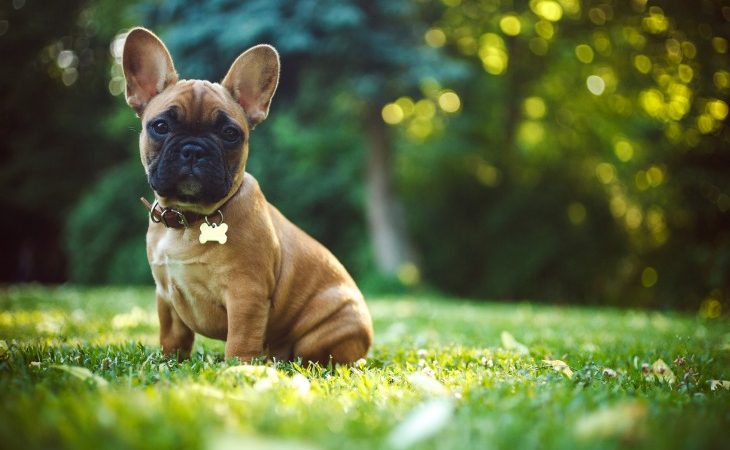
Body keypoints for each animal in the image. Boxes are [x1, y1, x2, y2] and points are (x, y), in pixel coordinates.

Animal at [122, 27, 372, 366]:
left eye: (230, 134)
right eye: (160, 126)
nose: (193, 149)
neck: (189, 218)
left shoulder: (246, 293)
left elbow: (241, 337)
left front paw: (238, 368)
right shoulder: (166, 296)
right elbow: (172, 336)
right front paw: (169, 362)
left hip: (326, 331)